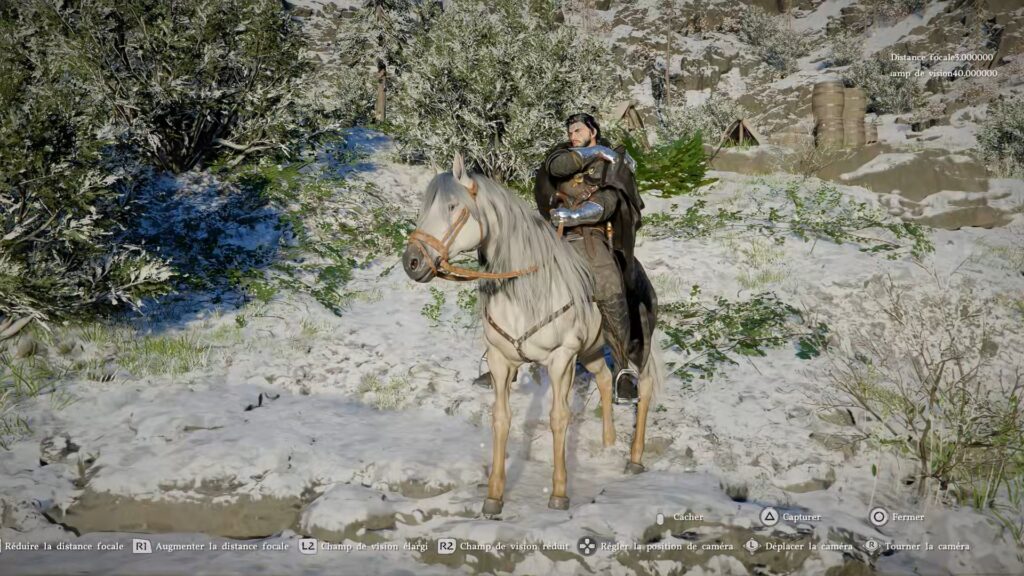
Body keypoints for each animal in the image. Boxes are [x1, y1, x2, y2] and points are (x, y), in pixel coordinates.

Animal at [401, 154, 664, 515]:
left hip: (638, 345)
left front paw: (559, 494)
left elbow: (558, 418)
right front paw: (494, 497)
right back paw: (609, 444)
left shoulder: (561, 359)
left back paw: (634, 458)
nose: (412, 262)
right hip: (592, 351)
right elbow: (501, 419)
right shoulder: (501, 360)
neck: (526, 288)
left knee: (645, 384)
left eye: (453, 207)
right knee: (603, 380)